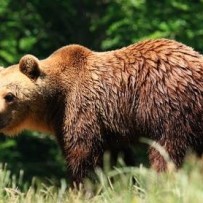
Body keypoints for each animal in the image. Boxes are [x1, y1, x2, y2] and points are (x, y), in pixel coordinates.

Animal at [0, 38, 203, 185]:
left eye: (9, 96)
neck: (56, 100)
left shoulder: (82, 110)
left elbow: (84, 156)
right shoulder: (111, 129)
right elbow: (116, 159)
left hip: (169, 105)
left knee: (168, 150)